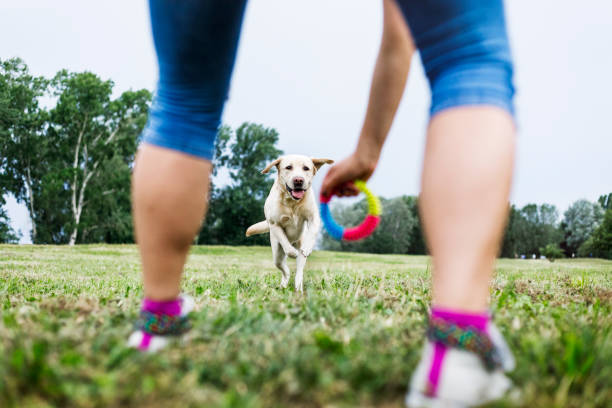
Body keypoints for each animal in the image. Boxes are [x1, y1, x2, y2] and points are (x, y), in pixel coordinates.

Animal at [246, 155, 334, 292]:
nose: (298, 180)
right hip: (277, 254)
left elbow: (312, 233)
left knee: (299, 269)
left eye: (306, 168)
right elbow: (283, 239)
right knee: (284, 269)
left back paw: (298, 286)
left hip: (300, 247)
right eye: (288, 167)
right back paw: (284, 283)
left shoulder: (313, 218)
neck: (292, 202)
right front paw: (292, 252)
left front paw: (307, 247)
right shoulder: (274, 223)